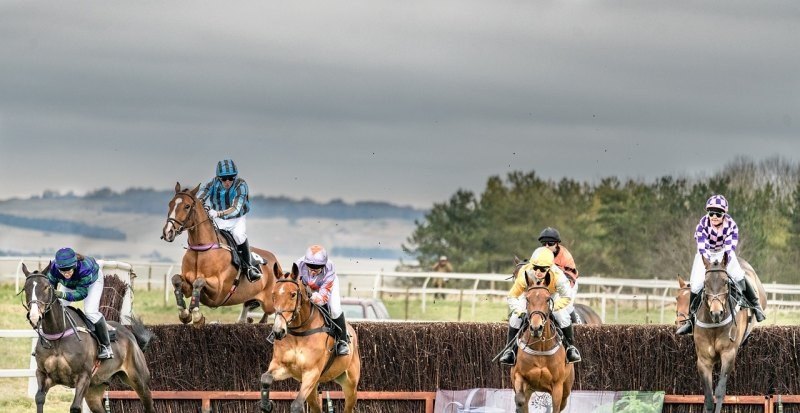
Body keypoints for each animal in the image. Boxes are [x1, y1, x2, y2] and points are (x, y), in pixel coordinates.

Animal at [19, 264, 156, 412]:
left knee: (149, 403)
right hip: (95, 389)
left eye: (46, 287)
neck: (58, 336)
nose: (34, 316)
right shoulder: (43, 374)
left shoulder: (83, 376)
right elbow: (39, 398)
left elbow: (75, 407)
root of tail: (131, 336)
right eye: (25, 288)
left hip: (139, 380)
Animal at [160, 183, 282, 326]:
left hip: (269, 301)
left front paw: (197, 316)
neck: (201, 249)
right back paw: (245, 320)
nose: (168, 232)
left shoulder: (218, 290)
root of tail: (275, 261)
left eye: (187, 206)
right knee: (250, 306)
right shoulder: (188, 285)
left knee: (273, 310)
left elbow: (199, 282)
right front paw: (184, 314)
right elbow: (176, 279)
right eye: (170, 204)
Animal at [260, 262, 360, 412]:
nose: (278, 331)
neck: (300, 332)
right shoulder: (281, 366)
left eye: (293, 294)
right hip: (314, 388)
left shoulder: (311, 372)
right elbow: (265, 378)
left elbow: (296, 405)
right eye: (273, 294)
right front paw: (266, 405)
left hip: (350, 385)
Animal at [512, 284, 576, 412]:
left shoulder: (557, 386)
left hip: (566, 390)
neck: (540, 347)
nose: (536, 328)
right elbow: (520, 399)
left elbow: (555, 408)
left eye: (547, 299)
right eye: (527, 299)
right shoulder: (519, 376)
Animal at [688, 254, 768, 412]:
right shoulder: (703, 360)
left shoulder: (728, 354)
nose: (716, 313)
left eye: (725, 281)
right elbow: (708, 397)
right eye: (705, 283)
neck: (714, 326)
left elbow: (719, 392)